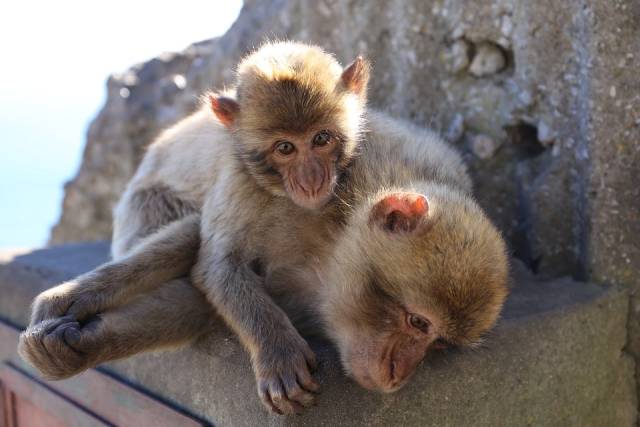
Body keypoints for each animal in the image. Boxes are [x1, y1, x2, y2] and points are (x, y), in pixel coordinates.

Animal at [20, 41, 508, 416]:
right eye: (416, 322)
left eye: (438, 344)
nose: (397, 376)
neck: (334, 241)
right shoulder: (260, 188)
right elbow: (212, 257)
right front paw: (67, 301)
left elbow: (195, 297)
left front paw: (85, 342)